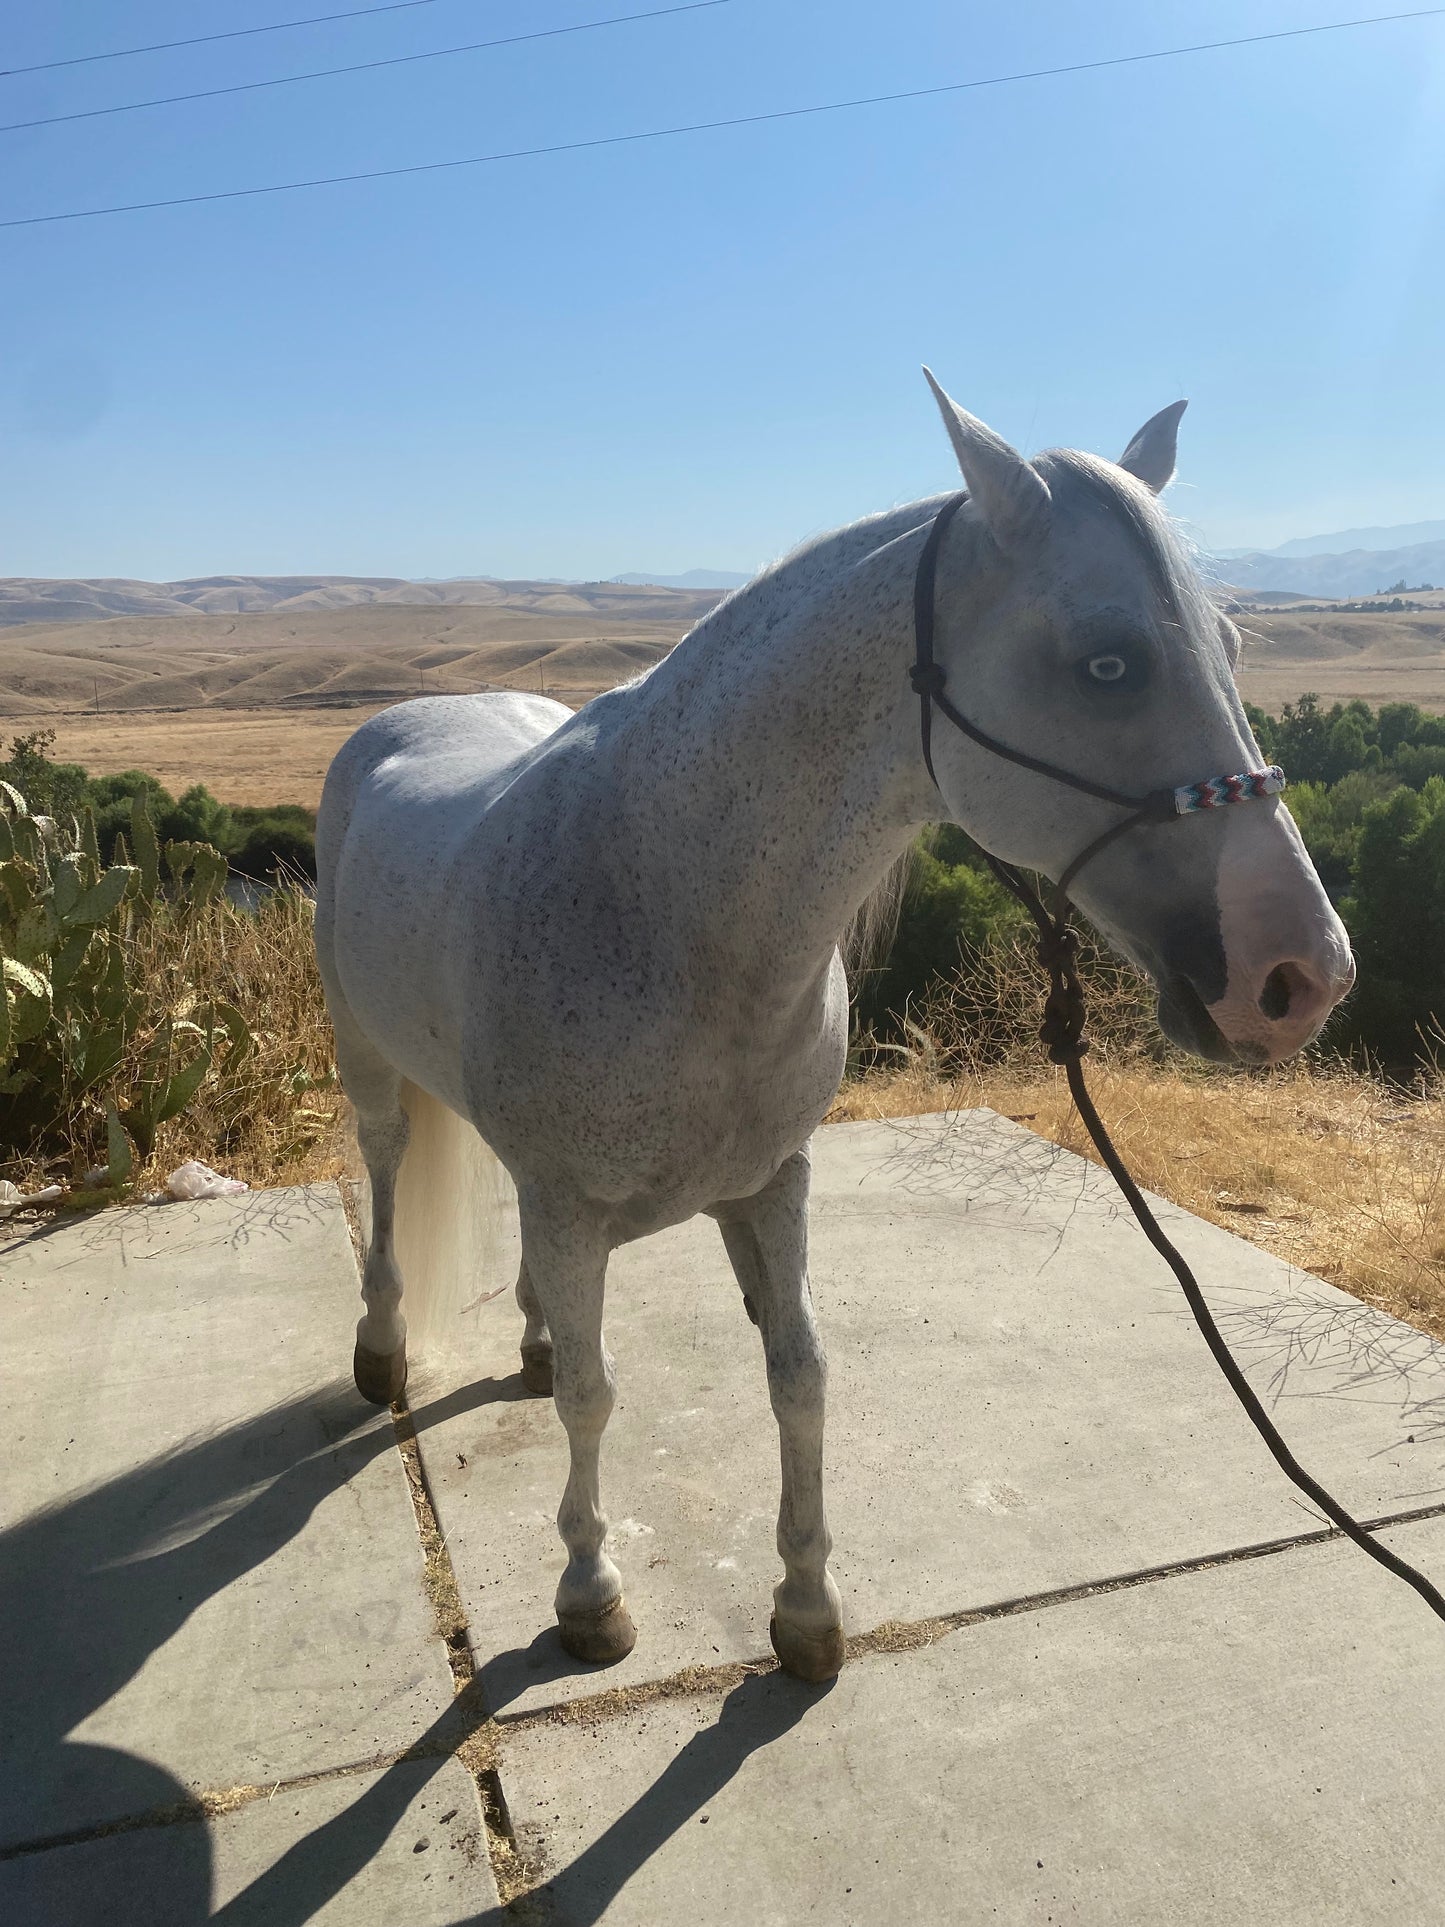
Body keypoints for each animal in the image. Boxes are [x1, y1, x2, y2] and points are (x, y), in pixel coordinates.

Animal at [315, 371, 1356, 1672]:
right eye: (1107, 663)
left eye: (1229, 646)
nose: (1299, 974)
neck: (667, 904)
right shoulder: (572, 1202)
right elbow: (598, 1400)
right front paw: (589, 1592)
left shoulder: (772, 1183)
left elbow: (798, 1375)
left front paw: (806, 1603)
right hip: (367, 1066)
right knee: (385, 1174)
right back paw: (381, 1346)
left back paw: (536, 1332)